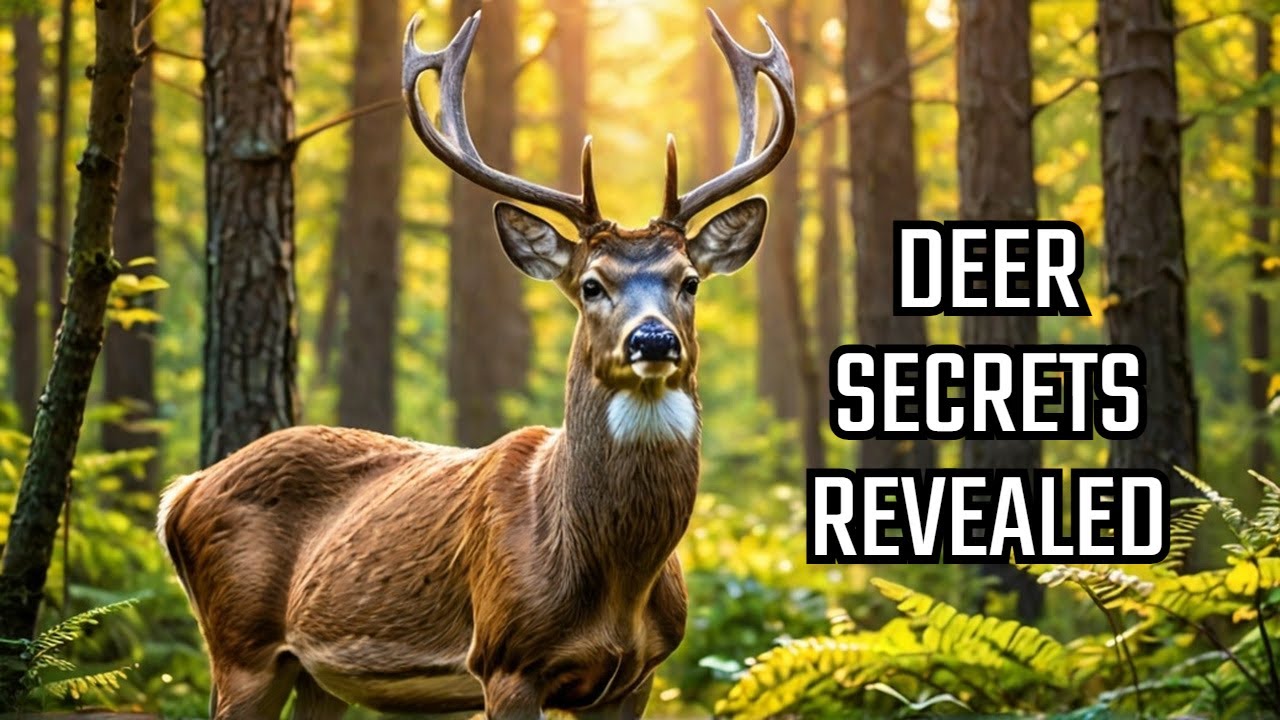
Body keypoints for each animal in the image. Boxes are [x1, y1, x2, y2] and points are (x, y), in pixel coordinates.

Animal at [158, 7, 794, 719]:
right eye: (591, 285)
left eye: (689, 281)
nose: (653, 341)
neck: (616, 583)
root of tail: (180, 493)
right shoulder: (505, 657)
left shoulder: (640, 675)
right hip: (240, 645)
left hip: (318, 675)